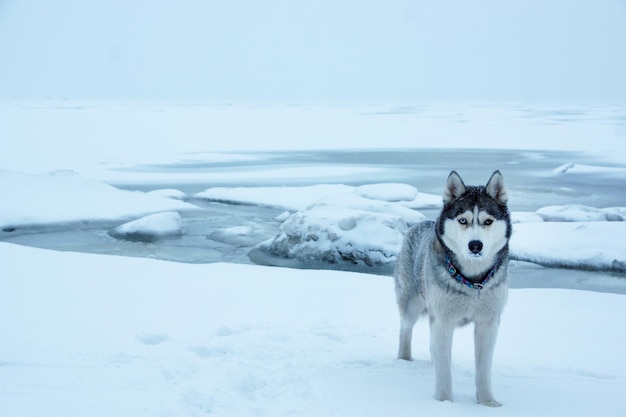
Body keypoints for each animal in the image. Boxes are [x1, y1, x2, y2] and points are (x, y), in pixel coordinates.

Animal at [394, 170, 508, 406]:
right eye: (463, 220)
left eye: (488, 221)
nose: (475, 245)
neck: (473, 282)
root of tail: (421, 223)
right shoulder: (443, 320)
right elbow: (444, 370)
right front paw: (444, 403)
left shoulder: (488, 323)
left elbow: (483, 370)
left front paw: (487, 402)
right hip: (411, 304)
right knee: (405, 329)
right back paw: (404, 359)